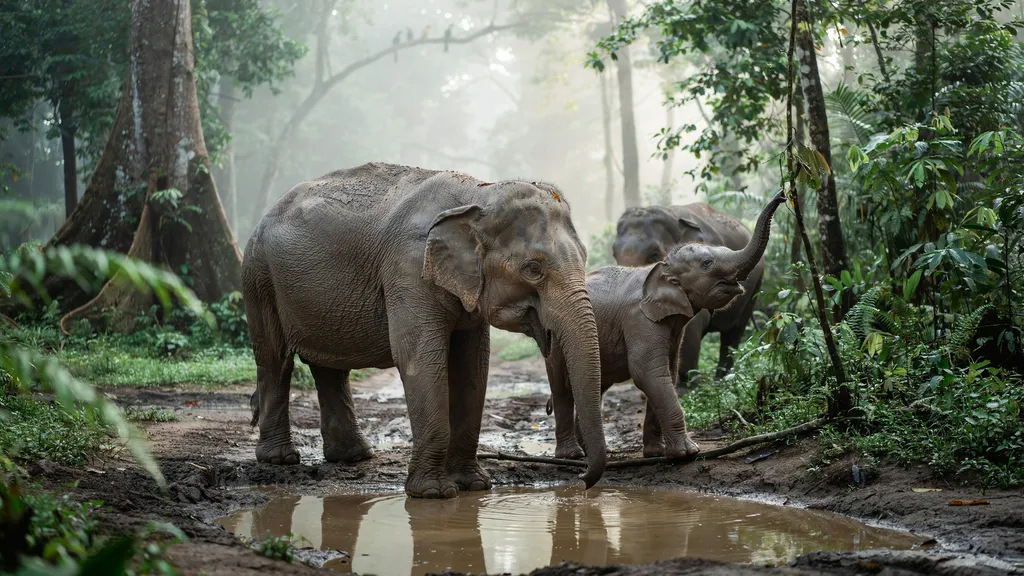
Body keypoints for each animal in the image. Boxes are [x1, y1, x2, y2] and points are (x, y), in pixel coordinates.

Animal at [242, 162, 606, 499]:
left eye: (585, 256)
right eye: (533, 268)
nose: (581, 478)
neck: (478, 194)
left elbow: (474, 365)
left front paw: (475, 485)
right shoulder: (408, 269)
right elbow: (420, 359)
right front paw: (433, 493)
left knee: (329, 368)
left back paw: (352, 457)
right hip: (258, 278)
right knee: (275, 359)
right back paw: (280, 459)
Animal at [612, 201, 766, 389]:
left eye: (654, 255)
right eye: (614, 254)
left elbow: (691, 326)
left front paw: (685, 389)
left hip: (755, 286)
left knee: (733, 334)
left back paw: (721, 383)